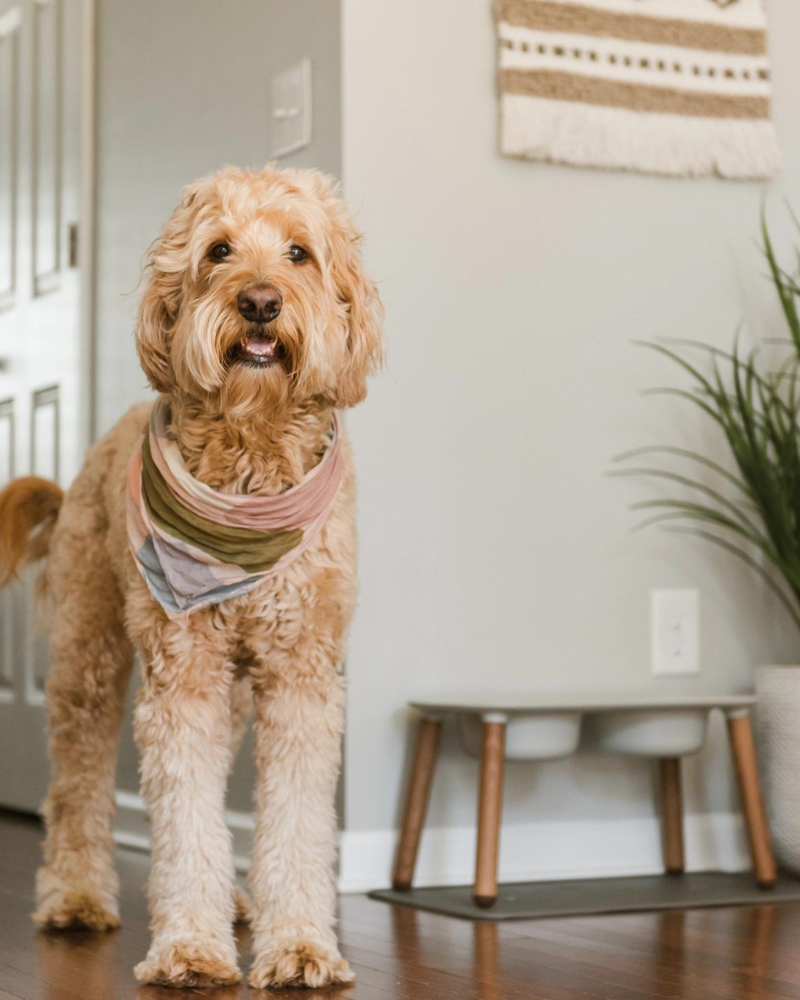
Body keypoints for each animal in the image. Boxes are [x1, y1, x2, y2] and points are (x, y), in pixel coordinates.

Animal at [0, 162, 384, 984]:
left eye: (299, 253)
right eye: (219, 250)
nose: (260, 302)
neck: (252, 462)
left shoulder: (301, 676)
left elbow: (296, 819)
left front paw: (298, 945)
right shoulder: (183, 679)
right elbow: (183, 814)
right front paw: (188, 949)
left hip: (234, 690)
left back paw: (238, 901)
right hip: (88, 658)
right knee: (75, 783)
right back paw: (75, 897)